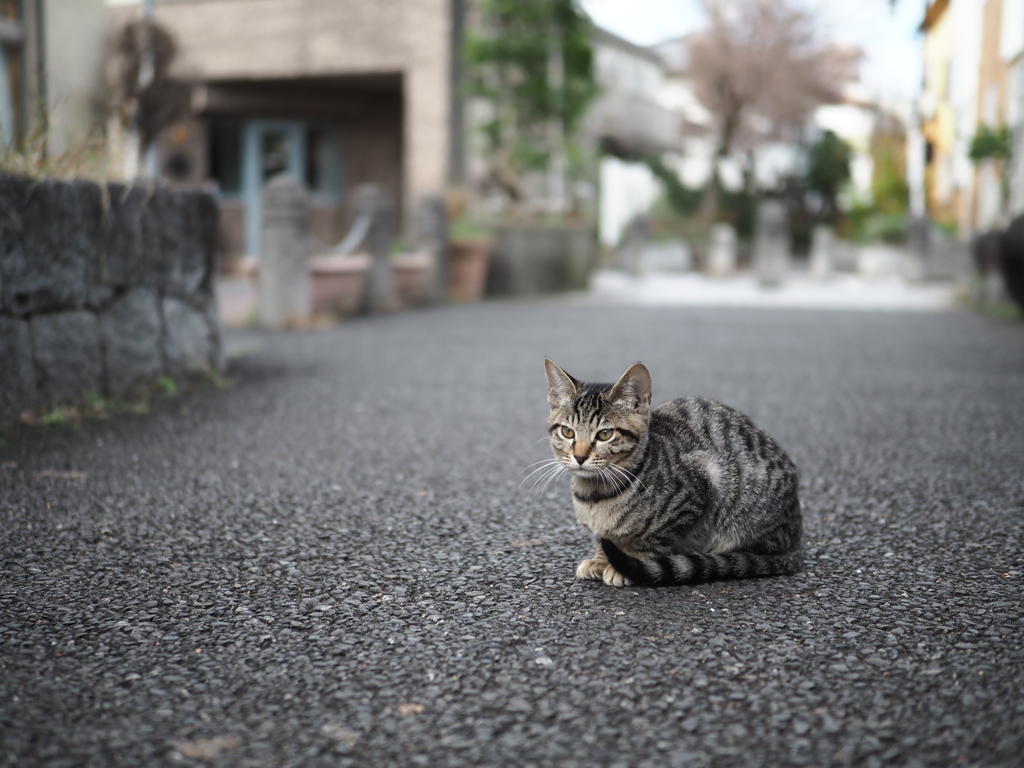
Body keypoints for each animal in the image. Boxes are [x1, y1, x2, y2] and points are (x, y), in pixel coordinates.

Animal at [544, 360, 798, 589]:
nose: (579, 456)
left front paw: (623, 563)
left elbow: (649, 540)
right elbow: (605, 539)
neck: (595, 494)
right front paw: (600, 560)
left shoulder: (697, 488)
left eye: (605, 434)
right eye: (567, 432)